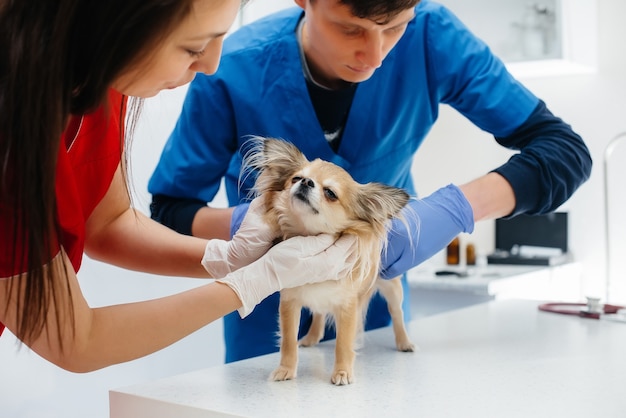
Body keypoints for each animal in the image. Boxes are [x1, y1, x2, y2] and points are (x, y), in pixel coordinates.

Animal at [240, 136, 414, 386]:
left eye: (330, 193)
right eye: (296, 178)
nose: (306, 182)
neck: (309, 236)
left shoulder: (347, 306)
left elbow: (343, 343)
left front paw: (342, 372)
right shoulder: (290, 303)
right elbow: (288, 343)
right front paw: (286, 369)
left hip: (392, 287)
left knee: (397, 314)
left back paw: (404, 342)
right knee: (319, 314)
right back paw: (311, 337)